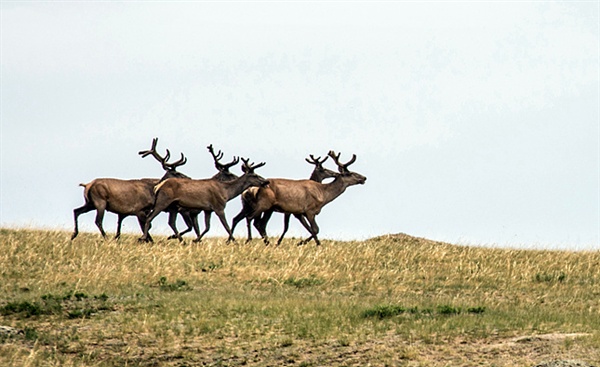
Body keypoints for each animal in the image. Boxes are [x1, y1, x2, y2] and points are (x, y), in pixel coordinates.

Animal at [233, 151, 366, 246]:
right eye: (349, 173)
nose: (364, 178)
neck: (323, 195)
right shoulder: (309, 210)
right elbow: (315, 229)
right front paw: (309, 244)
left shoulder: (299, 212)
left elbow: (310, 229)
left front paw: (304, 243)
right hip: (264, 204)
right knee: (251, 219)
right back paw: (251, 240)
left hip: (266, 208)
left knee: (255, 222)